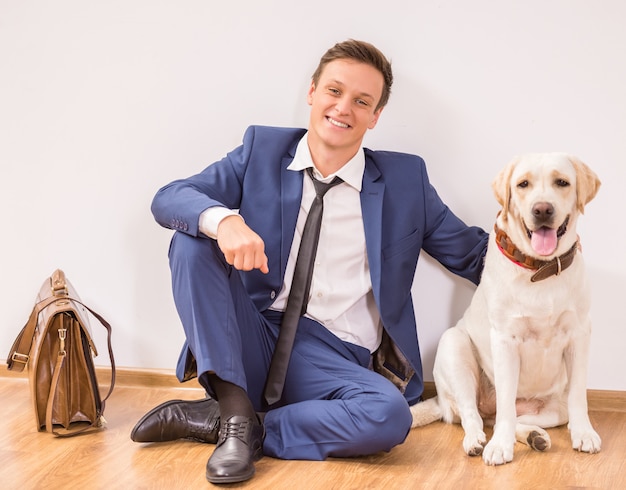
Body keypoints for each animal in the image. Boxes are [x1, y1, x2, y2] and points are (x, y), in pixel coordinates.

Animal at [410, 152, 600, 464]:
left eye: (562, 182)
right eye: (523, 184)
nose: (542, 209)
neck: (540, 269)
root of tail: (439, 400)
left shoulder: (579, 335)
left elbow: (578, 396)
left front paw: (584, 433)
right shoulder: (505, 340)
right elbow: (506, 402)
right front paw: (499, 447)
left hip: (553, 410)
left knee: (508, 418)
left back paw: (534, 436)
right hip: (454, 345)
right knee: (475, 415)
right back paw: (477, 441)